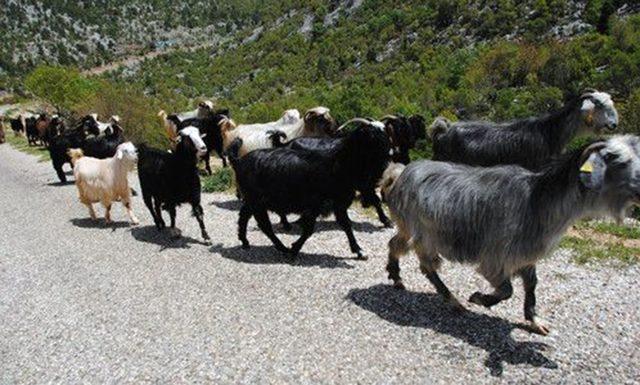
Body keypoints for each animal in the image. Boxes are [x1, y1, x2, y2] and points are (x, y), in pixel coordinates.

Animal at [229, 118, 390, 260]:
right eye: (371, 135)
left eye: (385, 131)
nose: (389, 154)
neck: (336, 164)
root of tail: (239, 161)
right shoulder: (314, 206)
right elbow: (308, 230)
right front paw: (294, 250)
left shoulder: (338, 204)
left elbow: (346, 226)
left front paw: (359, 251)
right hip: (256, 200)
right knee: (264, 225)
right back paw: (282, 247)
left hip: (252, 200)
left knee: (244, 216)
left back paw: (245, 241)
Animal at [380, 135, 640, 332]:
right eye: (616, 159)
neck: (536, 201)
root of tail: (399, 175)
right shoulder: (494, 258)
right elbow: (507, 290)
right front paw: (479, 298)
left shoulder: (525, 256)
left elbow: (531, 284)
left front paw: (534, 320)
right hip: (423, 234)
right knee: (426, 265)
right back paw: (453, 301)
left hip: (411, 229)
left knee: (396, 244)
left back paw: (396, 275)